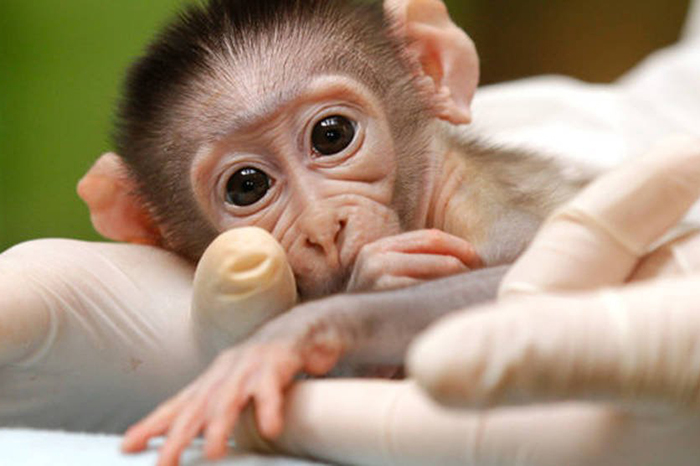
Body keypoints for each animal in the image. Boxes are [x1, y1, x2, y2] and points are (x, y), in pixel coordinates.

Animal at [74, 0, 591, 462]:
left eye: (331, 134)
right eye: (247, 186)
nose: (322, 229)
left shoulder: (487, 205)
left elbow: (533, 290)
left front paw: (288, 336)